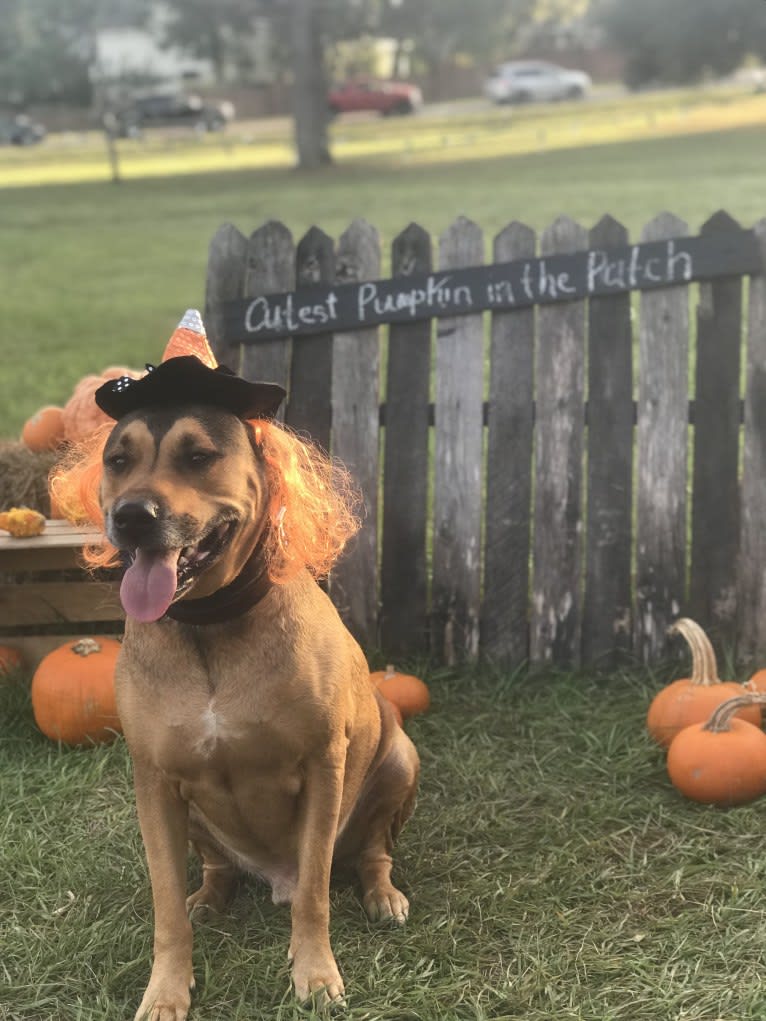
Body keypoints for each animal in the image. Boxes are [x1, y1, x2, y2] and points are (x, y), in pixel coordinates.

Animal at [54, 324, 420, 1021]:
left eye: (199, 456)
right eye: (117, 460)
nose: (132, 515)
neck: (208, 625)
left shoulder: (323, 766)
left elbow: (315, 891)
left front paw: (315, 973)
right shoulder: (154, 782)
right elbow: (165, 907)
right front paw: (166, 988)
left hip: (399, 759)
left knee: (371, 850)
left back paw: (380, 892)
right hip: (193, 817)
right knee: (215, 868)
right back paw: (209, 897)